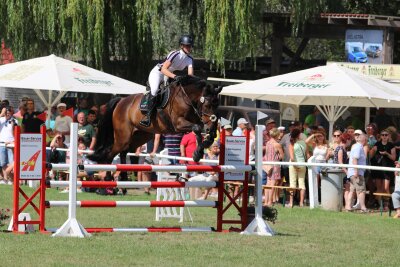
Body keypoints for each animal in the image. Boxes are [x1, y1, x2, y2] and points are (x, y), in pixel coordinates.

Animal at [88, 75, 223, 183]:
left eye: (217, 105)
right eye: (207, 105)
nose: (211, 125)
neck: (186, 98)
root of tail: (121, 101)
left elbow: (202, 129)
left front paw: (206, 143)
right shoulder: (178, 124)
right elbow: (197, 128)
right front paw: (197, 153)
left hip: (140, 136)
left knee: (124, 152)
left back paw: (124, 177)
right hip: (123, 137)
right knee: (111, 153)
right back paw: (108, 177)